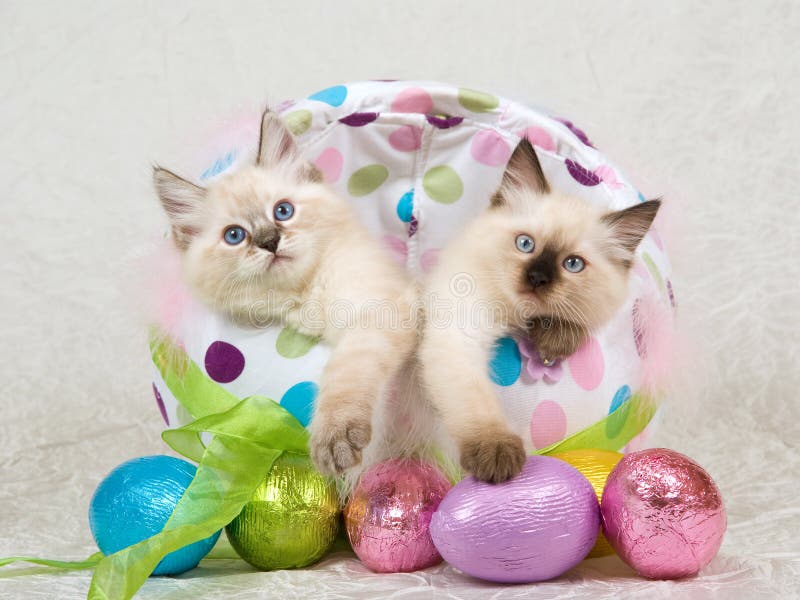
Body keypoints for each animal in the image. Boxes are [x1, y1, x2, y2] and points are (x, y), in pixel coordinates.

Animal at [152, 109, 416, 478]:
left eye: (283, 211)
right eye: (235, 235)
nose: (269, 241)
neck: (308, 289)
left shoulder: (378, 312)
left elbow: (344, 372)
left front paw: (334, 439)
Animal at [416, 137, 660, 482]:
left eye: (572, 264)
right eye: (525, 244)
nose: (537, 278)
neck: (513, 317)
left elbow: (573, 320)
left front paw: (553, 342)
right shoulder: (459, 338)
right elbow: (476, 402)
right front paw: (497, 455)